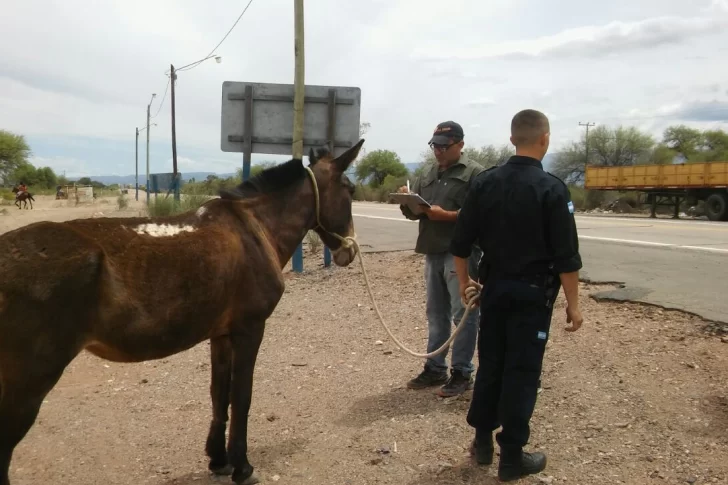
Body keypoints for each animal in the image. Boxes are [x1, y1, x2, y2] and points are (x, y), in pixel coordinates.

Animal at [0, 138, 364, 482]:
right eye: (350, 190)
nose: (349, 251)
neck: (253, 229)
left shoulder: (221, 335)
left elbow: (219, 395)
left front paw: (218, 460)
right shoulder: (250, 329)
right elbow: (241, 397)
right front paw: (242, 467)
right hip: (28, 384)